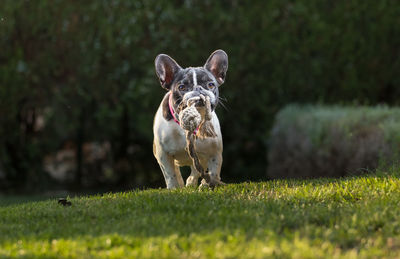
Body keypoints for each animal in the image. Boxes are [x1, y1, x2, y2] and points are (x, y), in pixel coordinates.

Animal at [152, 49, 228, 190]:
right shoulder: (163, 154)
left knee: (196, 169)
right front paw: (174, 188)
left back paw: (192, 182)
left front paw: (208, 185)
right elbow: (170, 174)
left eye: (211, 85)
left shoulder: (214, 153)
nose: (198, 89)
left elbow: (214, 171)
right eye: (181, 87)